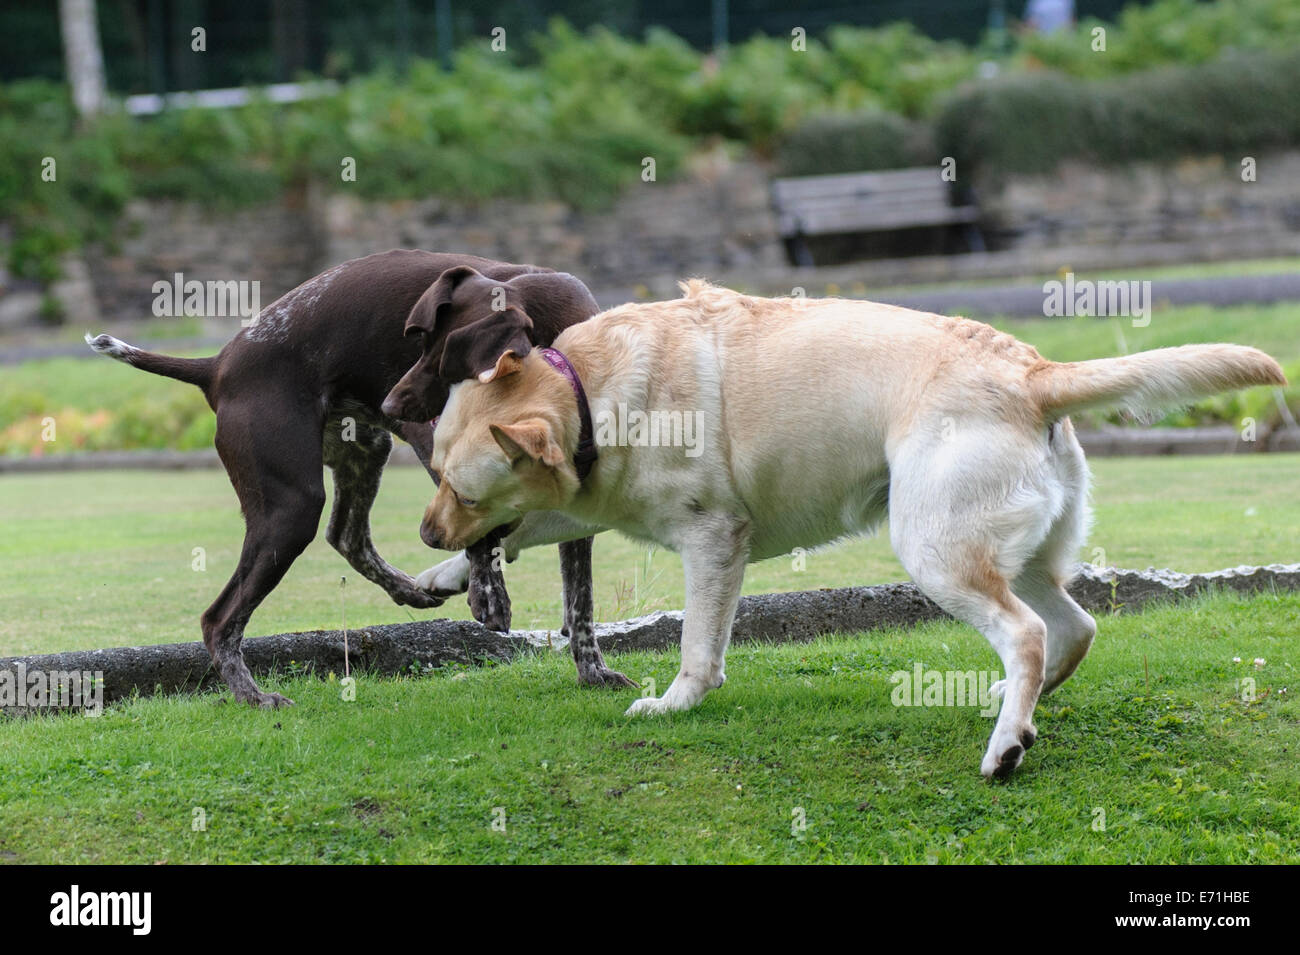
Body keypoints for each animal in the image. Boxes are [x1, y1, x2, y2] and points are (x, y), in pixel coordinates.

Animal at [86, 250, 629, 706]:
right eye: (418, 342)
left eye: (444, 358)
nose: (389, 403)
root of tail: (216, 366)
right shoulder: (437, 446)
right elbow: (485, 533)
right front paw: (488, 593)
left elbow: (579, 602)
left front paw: (593, 671)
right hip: (292, 508)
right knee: (220, 619)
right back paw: (253, 696)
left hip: (366, 450)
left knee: (346, 535)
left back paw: (408, 589)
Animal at [416, 281, 1279, 779]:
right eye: (436, 476)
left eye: (458, 488)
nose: (424, 532)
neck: (589, 393)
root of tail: (1034, 371)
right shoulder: (586, 493)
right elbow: (529, 525)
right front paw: (441, 578)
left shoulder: (711, 540)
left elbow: (696, 646)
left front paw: (676, 703)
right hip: (1018, 550)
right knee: (1075, 626)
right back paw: (1017, 705)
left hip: (935, 551)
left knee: (1028, 632)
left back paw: (1004, 747)